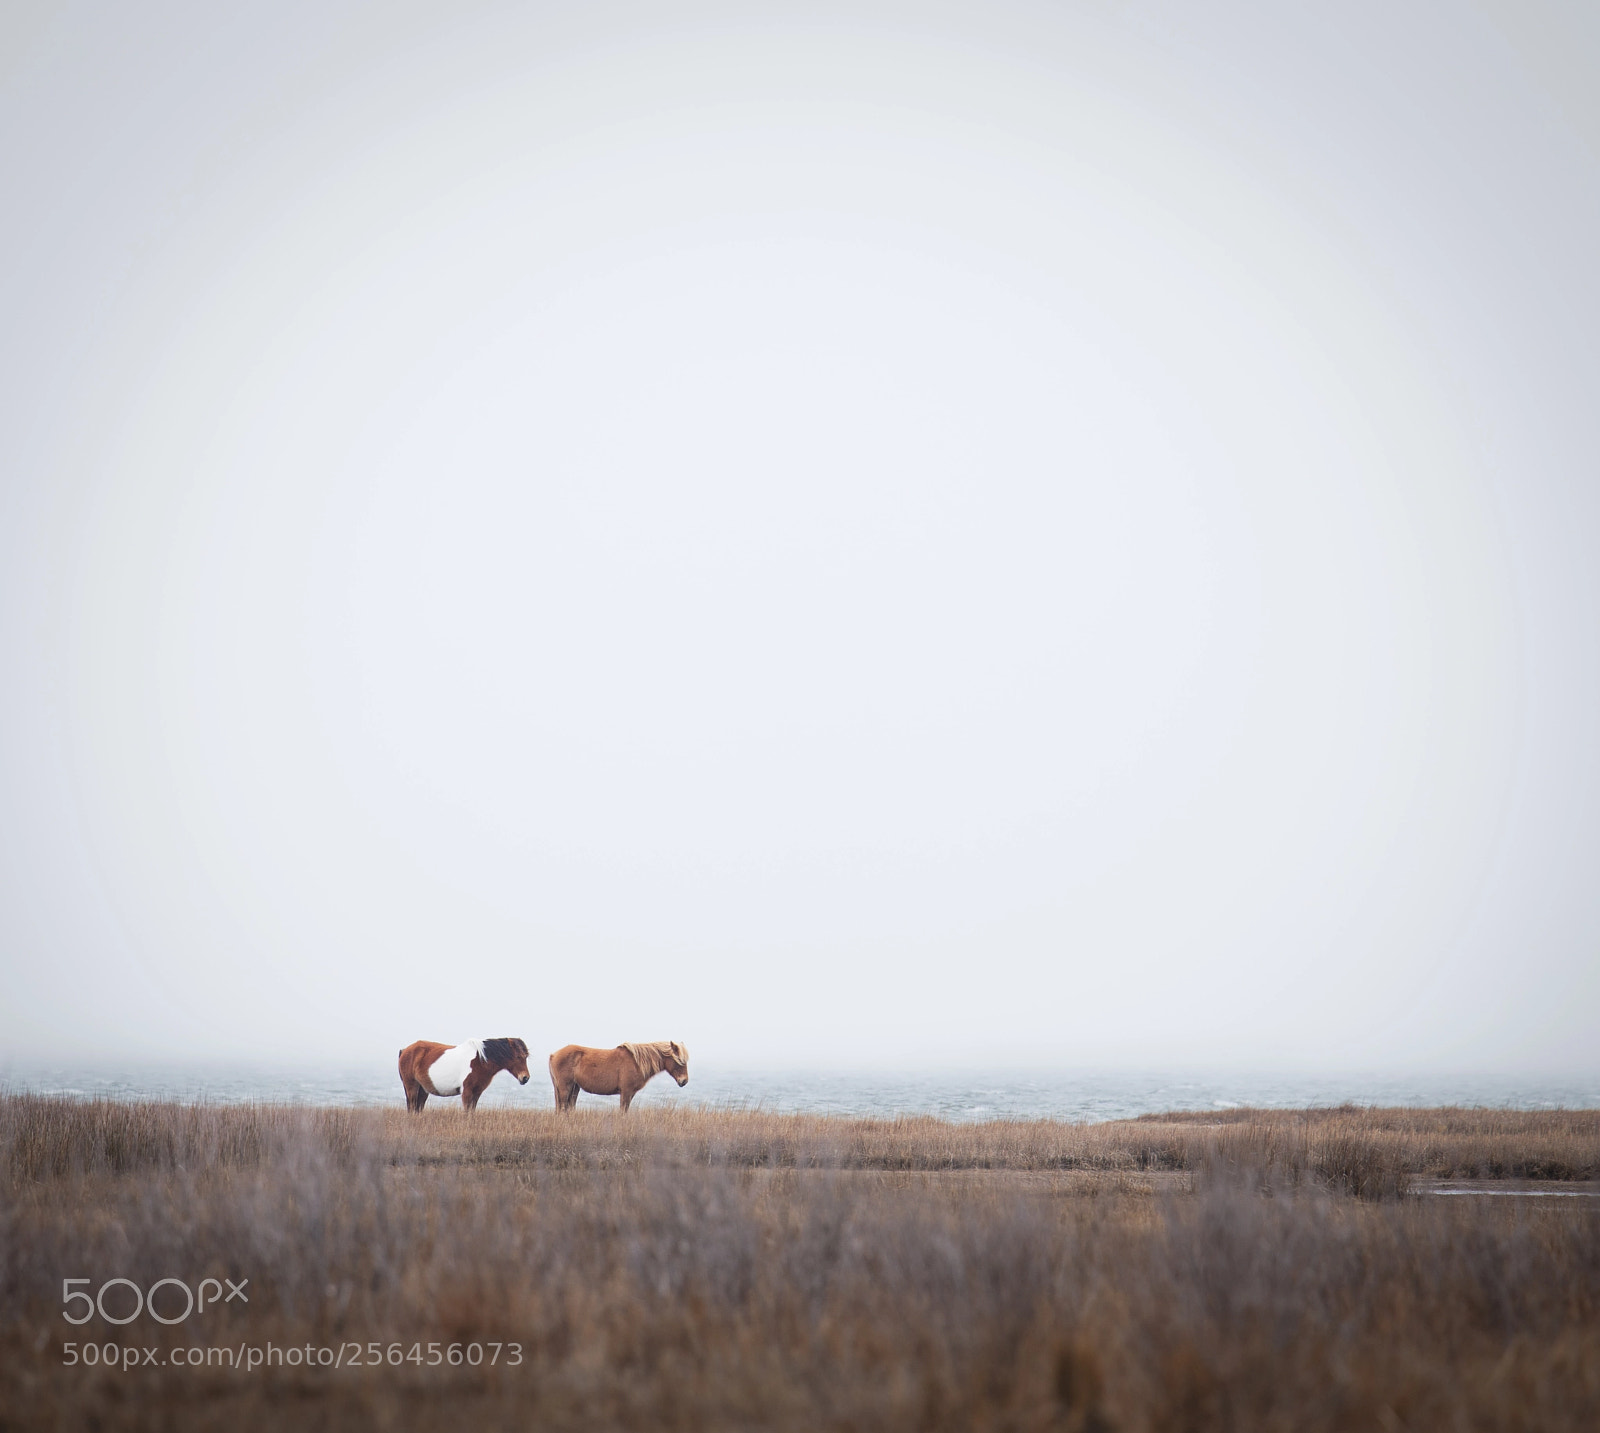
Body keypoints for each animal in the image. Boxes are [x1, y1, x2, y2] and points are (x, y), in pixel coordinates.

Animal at [398, 1038, 531, 1112]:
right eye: (518, 1057)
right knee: (412, 1106)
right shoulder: (467, 1091)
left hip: (423, 1090)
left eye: (526, 1057)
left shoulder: (477, 1092)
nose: (525, 1078)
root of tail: (405, 1050)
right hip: (411, 1087)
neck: (480, 1060)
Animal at [548, 1041, 689, 1112]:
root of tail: (553, 1055)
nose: (684, 1081)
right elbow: (623, 1112)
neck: (636, 1062)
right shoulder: (626, 1092)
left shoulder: (630, 1093)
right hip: (565, 1088)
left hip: (574, 1088)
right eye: (679, 1061)